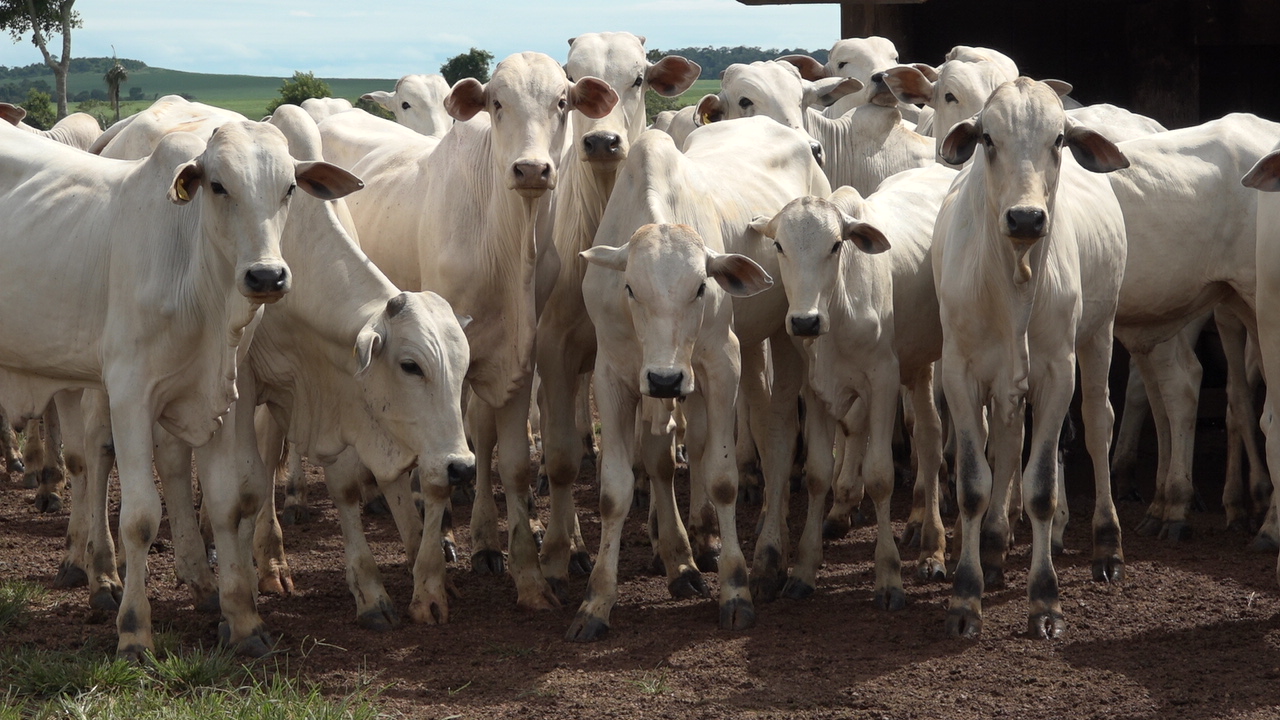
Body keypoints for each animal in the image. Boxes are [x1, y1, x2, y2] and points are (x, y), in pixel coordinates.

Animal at [0, 119, 355, 655]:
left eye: (289, 188)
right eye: (218, 185)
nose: (266, 276)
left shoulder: (222, 399)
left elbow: (228, 501)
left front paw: (243, 620)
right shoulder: (129, 393)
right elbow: (141, 516)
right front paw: (134, 631)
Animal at [345, 53, 619, 607]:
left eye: (563, 101)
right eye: (496, 102)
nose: (532, 169)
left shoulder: (519, 359)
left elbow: (511, 461)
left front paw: (528, 573)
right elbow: (439, 471)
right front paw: (434, 573)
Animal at [527, 32, 696, 599]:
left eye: (639, 77)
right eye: (570, 78)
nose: (602, 141)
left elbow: (654, 455)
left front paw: (673, 550)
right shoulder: (553, 349)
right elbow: (560, 457)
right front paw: (563, 550)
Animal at [752, 159, 957, 602]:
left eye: (835, 245)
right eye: (779, 247)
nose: (804, 321)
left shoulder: (883, 380)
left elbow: (880, 476)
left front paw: (889, 575)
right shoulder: (815, 389)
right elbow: (817, 473)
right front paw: (804, 569)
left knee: (931, 439)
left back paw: (931, 547)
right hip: (915, 363)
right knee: (917, 434)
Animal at [931, 79, 1131, 638]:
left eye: (1058, 139)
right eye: (987, 138)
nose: (1025, 217)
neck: (1013, 278)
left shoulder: (1058, 371)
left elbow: (1041, 487)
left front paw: (1045, 600)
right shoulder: (959, 372)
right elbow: (974, 484)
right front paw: (966, 596)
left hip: (1099, 334)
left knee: (1098, 424)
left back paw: (1106, 546)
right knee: (1007, 441)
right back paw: (995, 546)